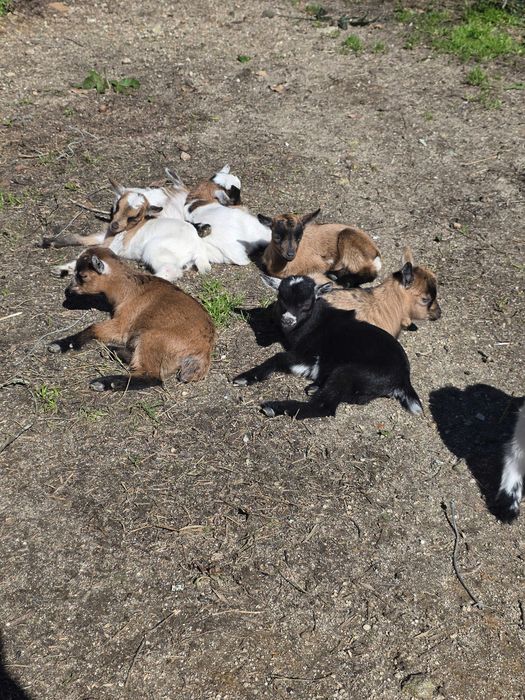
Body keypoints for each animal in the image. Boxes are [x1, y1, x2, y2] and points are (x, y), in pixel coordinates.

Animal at [48, 247, 215, 390]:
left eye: (82, 276)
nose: (68, 291)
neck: (129, 290)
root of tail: (204, 350)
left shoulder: (123, 324)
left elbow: (93, 327)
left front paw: (60, 344)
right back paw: (113, 351)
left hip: (153, 339)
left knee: (152, 376)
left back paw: (106, 382)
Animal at [233, 274, 423, 419]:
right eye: (281, 300)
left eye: (306, 304)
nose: (287, 320)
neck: (314, 322)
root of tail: (403, 379)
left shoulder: (309, 356)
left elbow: (279, 357)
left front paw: (244, 377)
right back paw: (314, 387)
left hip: (349, 373)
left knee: (324, 407)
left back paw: (274, 407)